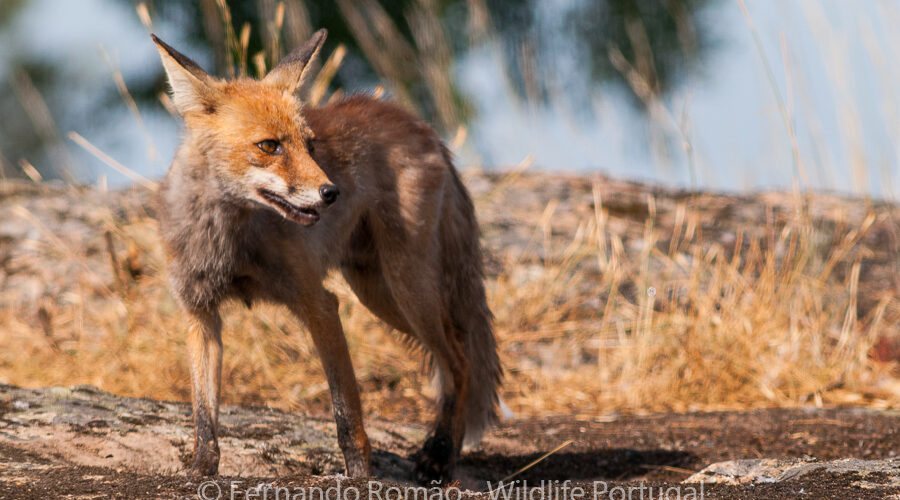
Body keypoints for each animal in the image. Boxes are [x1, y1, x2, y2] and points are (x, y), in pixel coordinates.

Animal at [151, 29, 501, 483]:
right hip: (377, 290)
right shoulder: (200, 314)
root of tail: (418, 124)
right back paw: (447, 452)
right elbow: (204, 417)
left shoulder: (318, 304)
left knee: (459, 358)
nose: (331, 192)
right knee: (457, 355)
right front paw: (201, 471)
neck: (229, 238)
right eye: (269, 146)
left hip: (406, 288)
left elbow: (346, 411)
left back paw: (440, 454)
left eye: (310, 144)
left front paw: (359, 476)